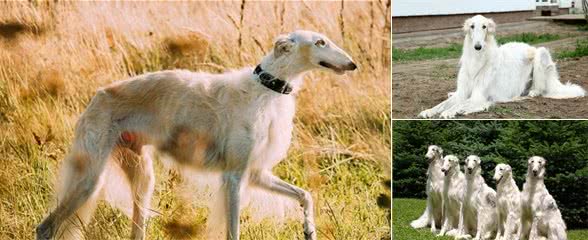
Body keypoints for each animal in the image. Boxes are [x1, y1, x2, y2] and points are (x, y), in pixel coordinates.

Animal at [38, 30, 358, 240]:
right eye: (320, 42)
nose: (353, 64)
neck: (266, 88)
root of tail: (98, 95)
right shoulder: (233, 177)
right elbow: (233, 231)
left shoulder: (256, 174)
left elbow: (306, 195)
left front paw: (309, 229)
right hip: (89, 180)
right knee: (45, 228)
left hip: (142, 178)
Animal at [418, 14, 584, 118]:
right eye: (472, 26)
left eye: (484, 26)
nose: (478, 46)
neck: (478, 60)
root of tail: (528, 45)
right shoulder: (462, 92)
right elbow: (442, 104)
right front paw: (428, 111)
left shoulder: (479, 96)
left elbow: (460, 104)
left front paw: (451, 112)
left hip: (540, 52)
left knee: (540, 88)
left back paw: (532, 93)